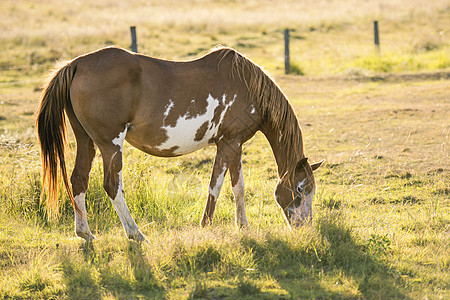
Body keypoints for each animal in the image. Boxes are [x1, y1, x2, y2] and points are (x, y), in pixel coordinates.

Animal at [36, 45, 324, 241]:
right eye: (300, 189)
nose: (305, 227)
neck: (247, 86)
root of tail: (75, 64)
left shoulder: (236, 144)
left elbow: (238, 188)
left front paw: (243, 226)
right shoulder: (227, 144)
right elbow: (215, 187)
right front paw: (206, 226)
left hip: (87, 141)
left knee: (78, 180)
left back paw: (85, 233)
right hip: (110, 145)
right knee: (111, 185)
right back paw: (135, 234)